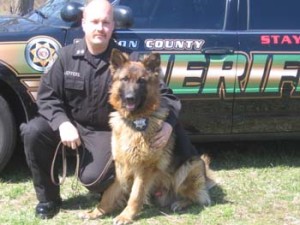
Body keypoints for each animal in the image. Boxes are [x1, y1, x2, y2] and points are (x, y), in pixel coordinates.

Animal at [80, 48, 216, 223]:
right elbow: (110, 193)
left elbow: (136, 195)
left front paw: (125, 216)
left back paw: (180, 203)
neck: (135, 120)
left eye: (141, 81)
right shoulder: (121, 164)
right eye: (125, 79)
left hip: (190, 166)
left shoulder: (145, 168)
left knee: (198, 197)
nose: (130, 98)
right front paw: (97, 212)